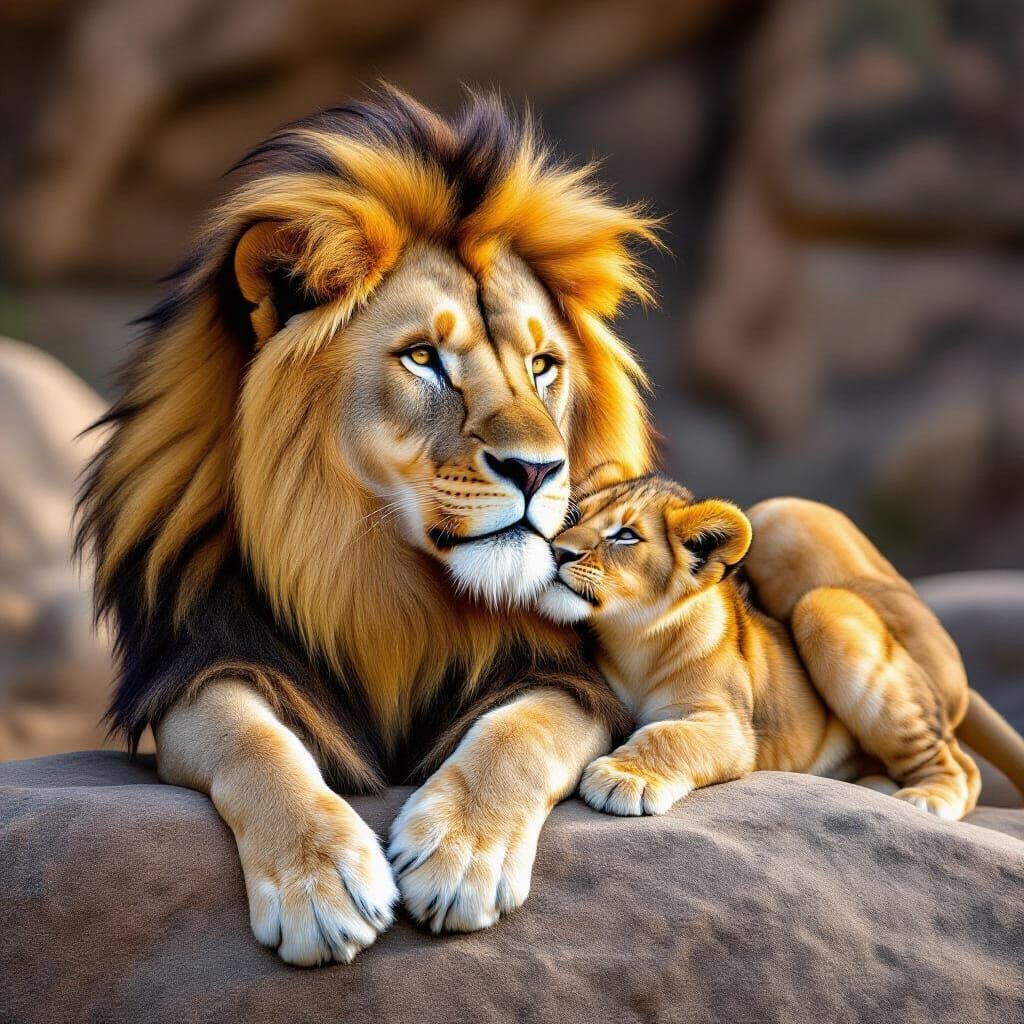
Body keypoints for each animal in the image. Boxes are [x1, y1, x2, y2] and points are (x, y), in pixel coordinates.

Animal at [75, 87, 659, 965]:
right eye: (422, 359)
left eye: (542, 366)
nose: (537, 471)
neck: (379, 576)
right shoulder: (204, 660)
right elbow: (252, 741)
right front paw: (320, 884)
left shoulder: (574, 680)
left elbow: (519, 732)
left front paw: (459, 856)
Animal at [538, 469, 1024, 820]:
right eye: (573, 519)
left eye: (626, 535)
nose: (558, 551)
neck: (632, 638)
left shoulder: (731, 725)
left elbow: (668, 735)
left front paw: (623, 777)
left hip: (823, 610)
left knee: (958, 760)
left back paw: (927, 797)